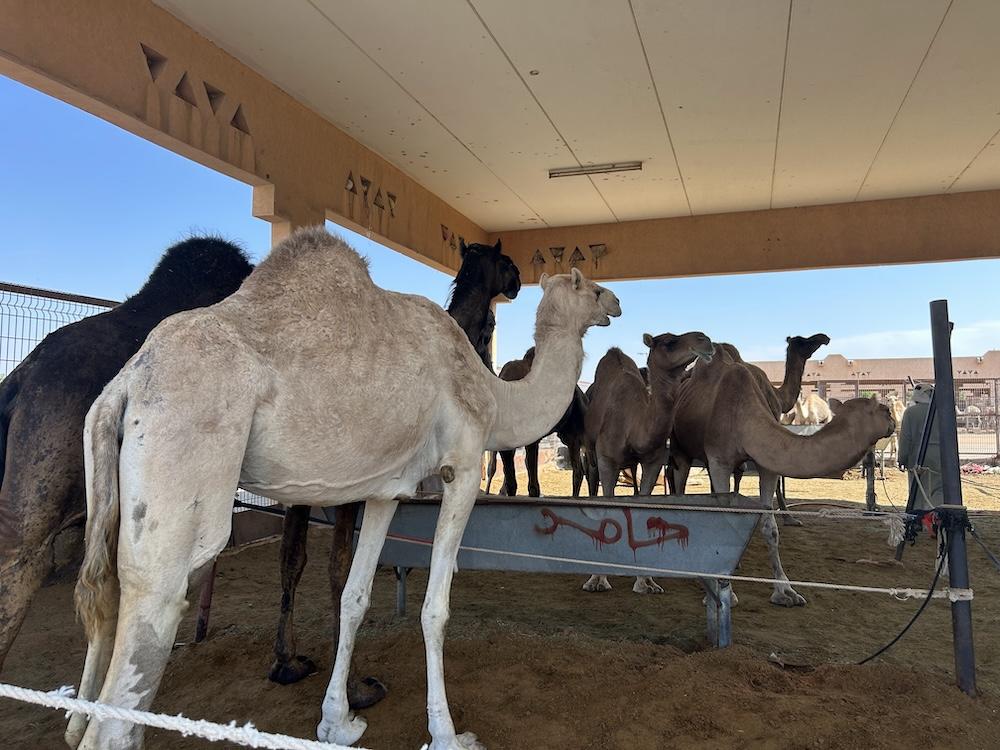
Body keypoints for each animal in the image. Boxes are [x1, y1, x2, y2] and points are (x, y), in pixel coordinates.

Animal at [581, 332, 713, 594]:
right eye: (668, 342)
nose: (705, 339)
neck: (634, 424)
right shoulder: (607, 459)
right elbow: (607, 507)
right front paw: (597, 579)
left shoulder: (653, 462)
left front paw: (646, 581)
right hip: (590, 453)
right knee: (592, 482)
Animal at [670, 345, 895, 606]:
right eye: (886, 410)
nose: (893, 423)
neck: (742, 413)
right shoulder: (719, 461)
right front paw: (725, 593)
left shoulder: (766, 464)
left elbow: (771, 528)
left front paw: (785, 591)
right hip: (680, 451)